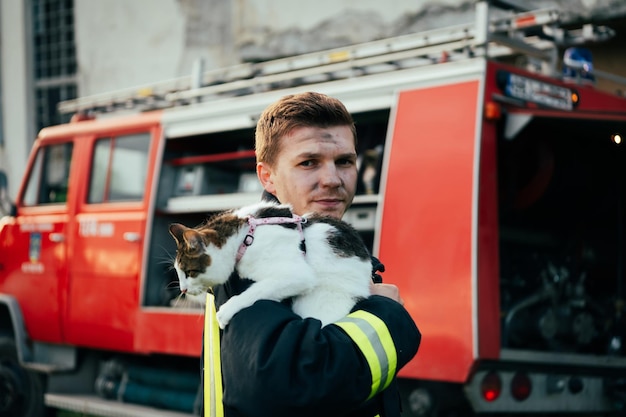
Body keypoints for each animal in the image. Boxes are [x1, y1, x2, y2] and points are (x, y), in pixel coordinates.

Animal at [167, 199, 370, 328]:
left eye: (189, 272)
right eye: (179, 272)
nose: (183, 289)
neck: (245, 236)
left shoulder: (297, 274)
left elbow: (258, 290)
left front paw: (227, 310)